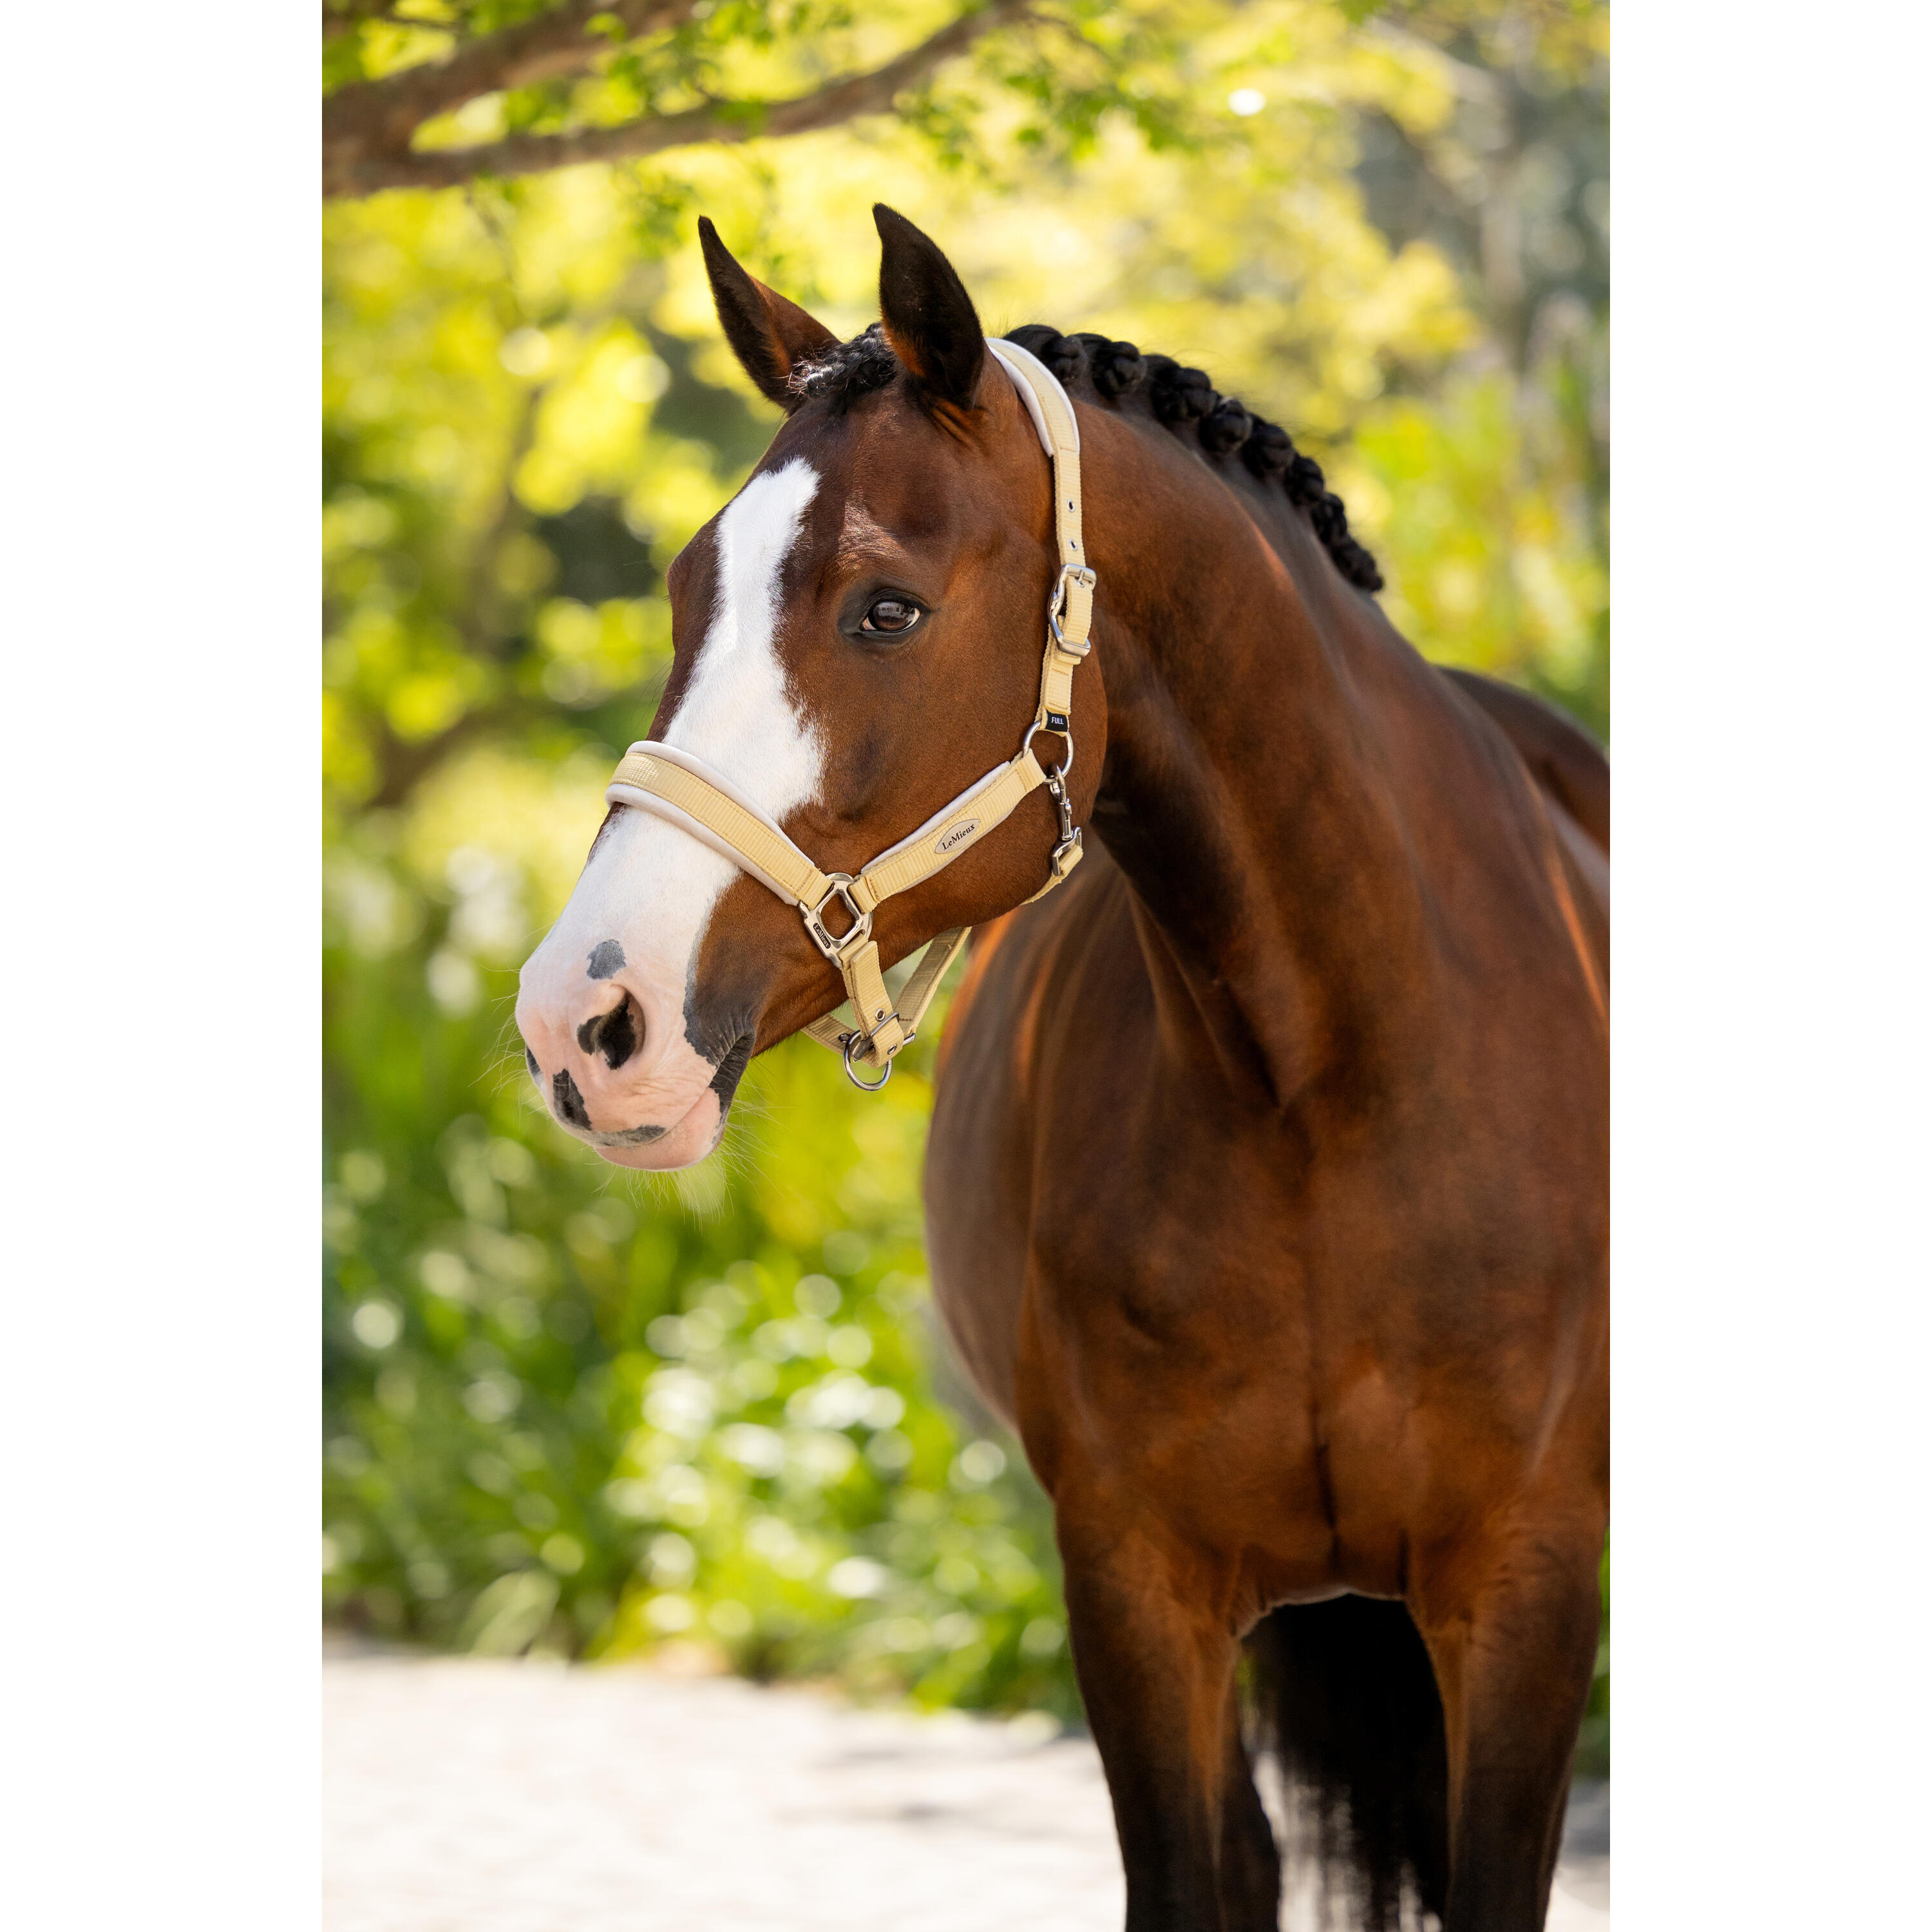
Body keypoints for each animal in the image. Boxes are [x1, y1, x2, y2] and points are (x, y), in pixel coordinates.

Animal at [515, 205, 1609, 1931]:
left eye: (884, 607)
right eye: (688, 591)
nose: (580, 1018)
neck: (1328, 1091)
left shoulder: (1529, 1586)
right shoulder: (1133, 1589)